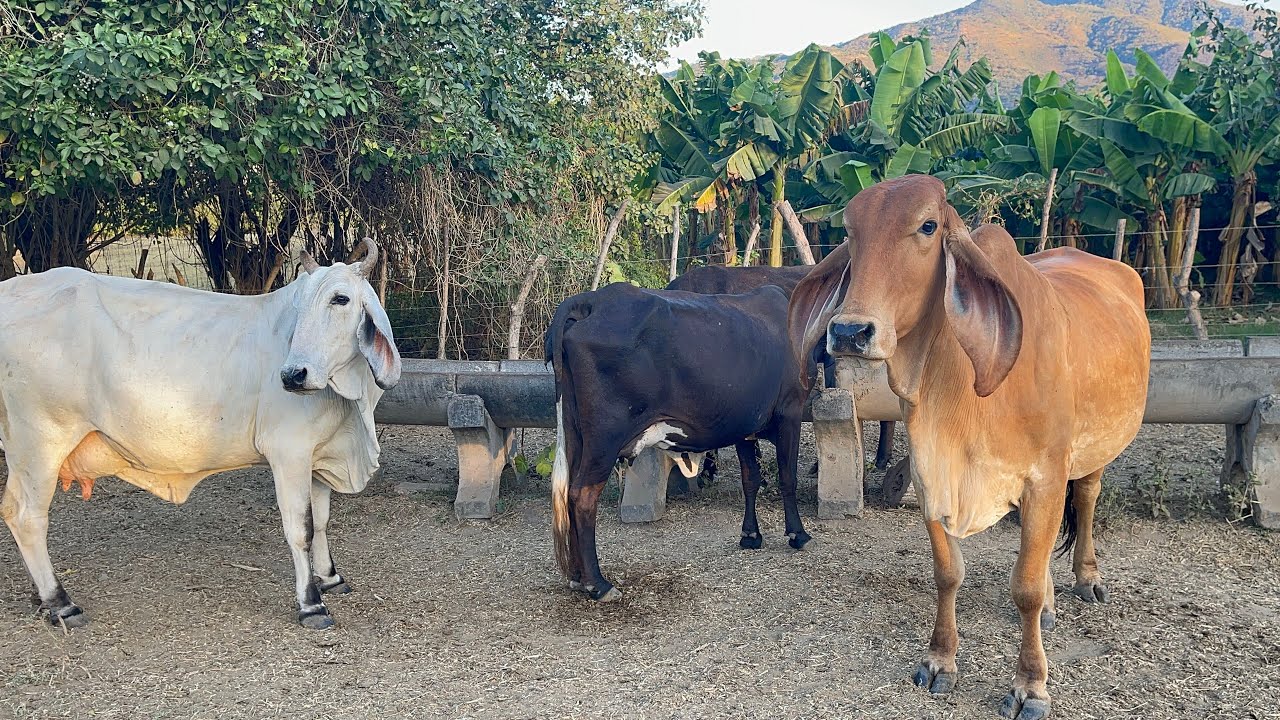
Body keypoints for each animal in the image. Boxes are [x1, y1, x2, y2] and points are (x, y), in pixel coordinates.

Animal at [0, 239, 401, 630]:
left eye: (340, 298)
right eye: (299, 305)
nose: (293, 375)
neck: (351, 395)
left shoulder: (318, 455)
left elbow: (320, 522)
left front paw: (330, 578)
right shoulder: (289, 453)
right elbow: (299, 528)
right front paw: (311, 603)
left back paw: (41, 596)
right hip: (40, 442)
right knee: (26, 516)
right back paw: (60, 602)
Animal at [546, 282, 811, 602]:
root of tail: (591, 301)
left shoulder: (746, 426)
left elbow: (751, 479)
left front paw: (750, 535)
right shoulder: (790, 411)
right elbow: (787, 477)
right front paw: (798, 533)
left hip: (575, 433)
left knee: (566, 492)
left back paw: (576, 576)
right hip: (604, 439)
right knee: (582, 495)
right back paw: (597, 584)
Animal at [787, 176, 1150, 720]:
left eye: (927, 226)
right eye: (850, 231)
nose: (850, 331)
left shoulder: (1045, 478)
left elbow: (1023, 588)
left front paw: (1030, 686)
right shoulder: (930, 475)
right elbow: (947, 572)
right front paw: (940, 661)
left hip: (1094, 450)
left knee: (1085, 499)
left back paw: (1085, 579)